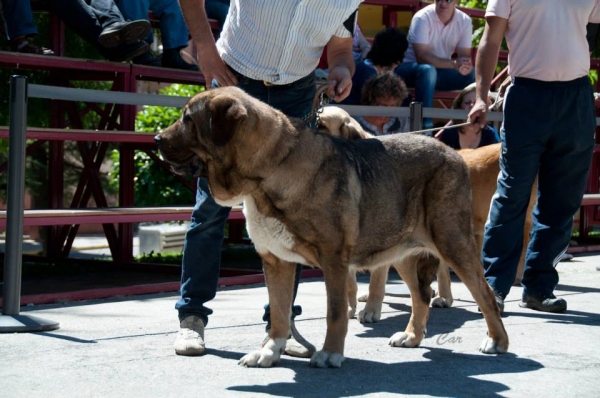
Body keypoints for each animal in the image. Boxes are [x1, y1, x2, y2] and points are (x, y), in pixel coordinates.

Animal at [155, 88, 506, 368]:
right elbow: (279, 313)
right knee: (421, 294)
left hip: (452, 242)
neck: (267, 172)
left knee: (484, 293)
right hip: (403, 251)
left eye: (188, 120)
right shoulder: (276, 261)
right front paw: (270, 352)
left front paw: (329, 354)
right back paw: (411, 337)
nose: (157, 138)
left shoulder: (333, 260)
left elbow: (335, 312)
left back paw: (497, 341)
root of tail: (455, 155)